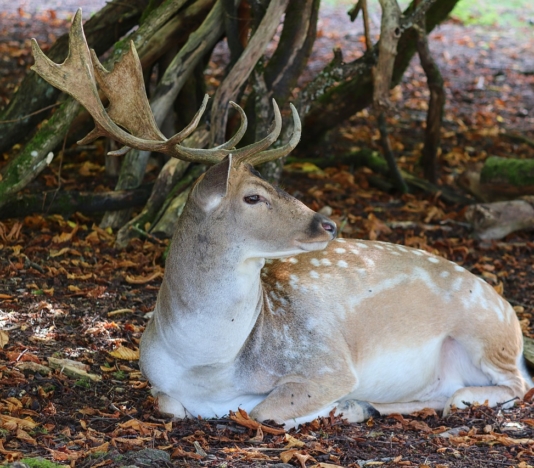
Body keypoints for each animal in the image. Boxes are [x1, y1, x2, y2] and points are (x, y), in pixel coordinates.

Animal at [31, 10, 532, 428]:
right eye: (253, 197)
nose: (327, 224)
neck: (209, 366)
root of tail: (511, 313)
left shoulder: (327, 362)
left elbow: (264, 410)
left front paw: (337, 406)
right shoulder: (158, 383)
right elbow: (172, 405)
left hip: (485, 333)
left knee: (512, 386)